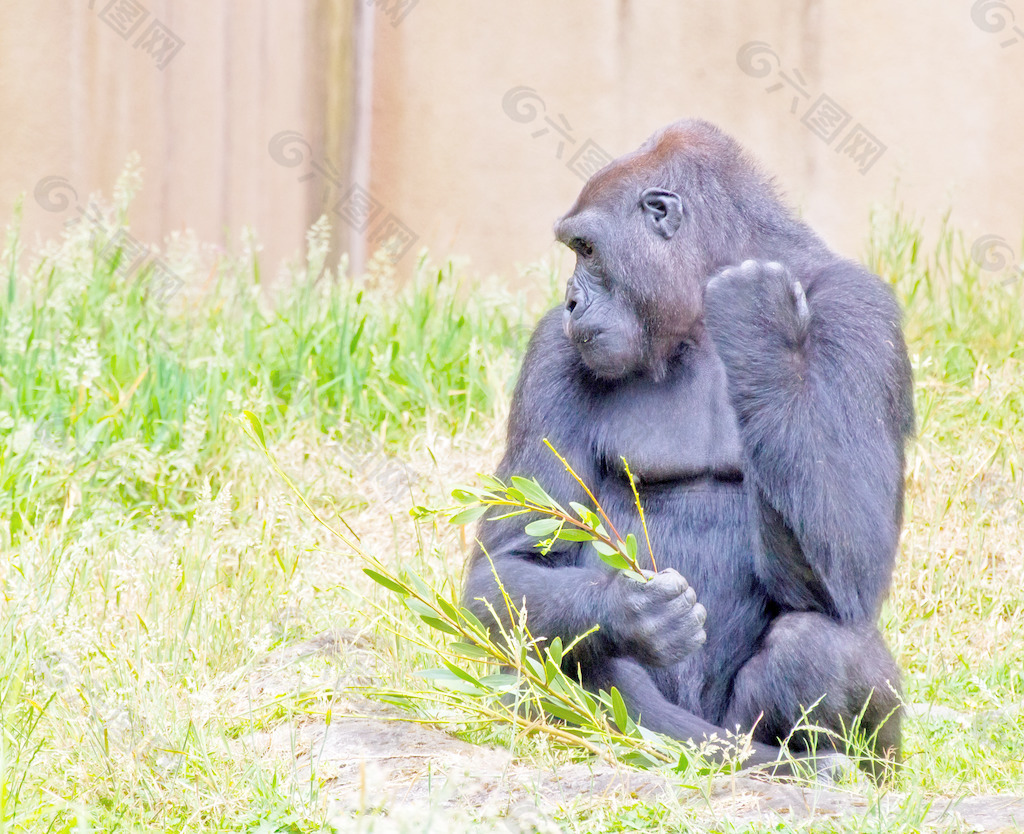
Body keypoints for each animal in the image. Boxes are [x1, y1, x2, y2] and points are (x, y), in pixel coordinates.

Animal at [464, 117, 913, 778]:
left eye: (587, 250)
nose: (571, 301)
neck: (696, 319)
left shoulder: (862, 313)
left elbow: (854, 560)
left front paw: (758, 319)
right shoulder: (552, 348)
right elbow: (506, 566)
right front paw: (629, 611)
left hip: (745, 737)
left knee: (821, 646)